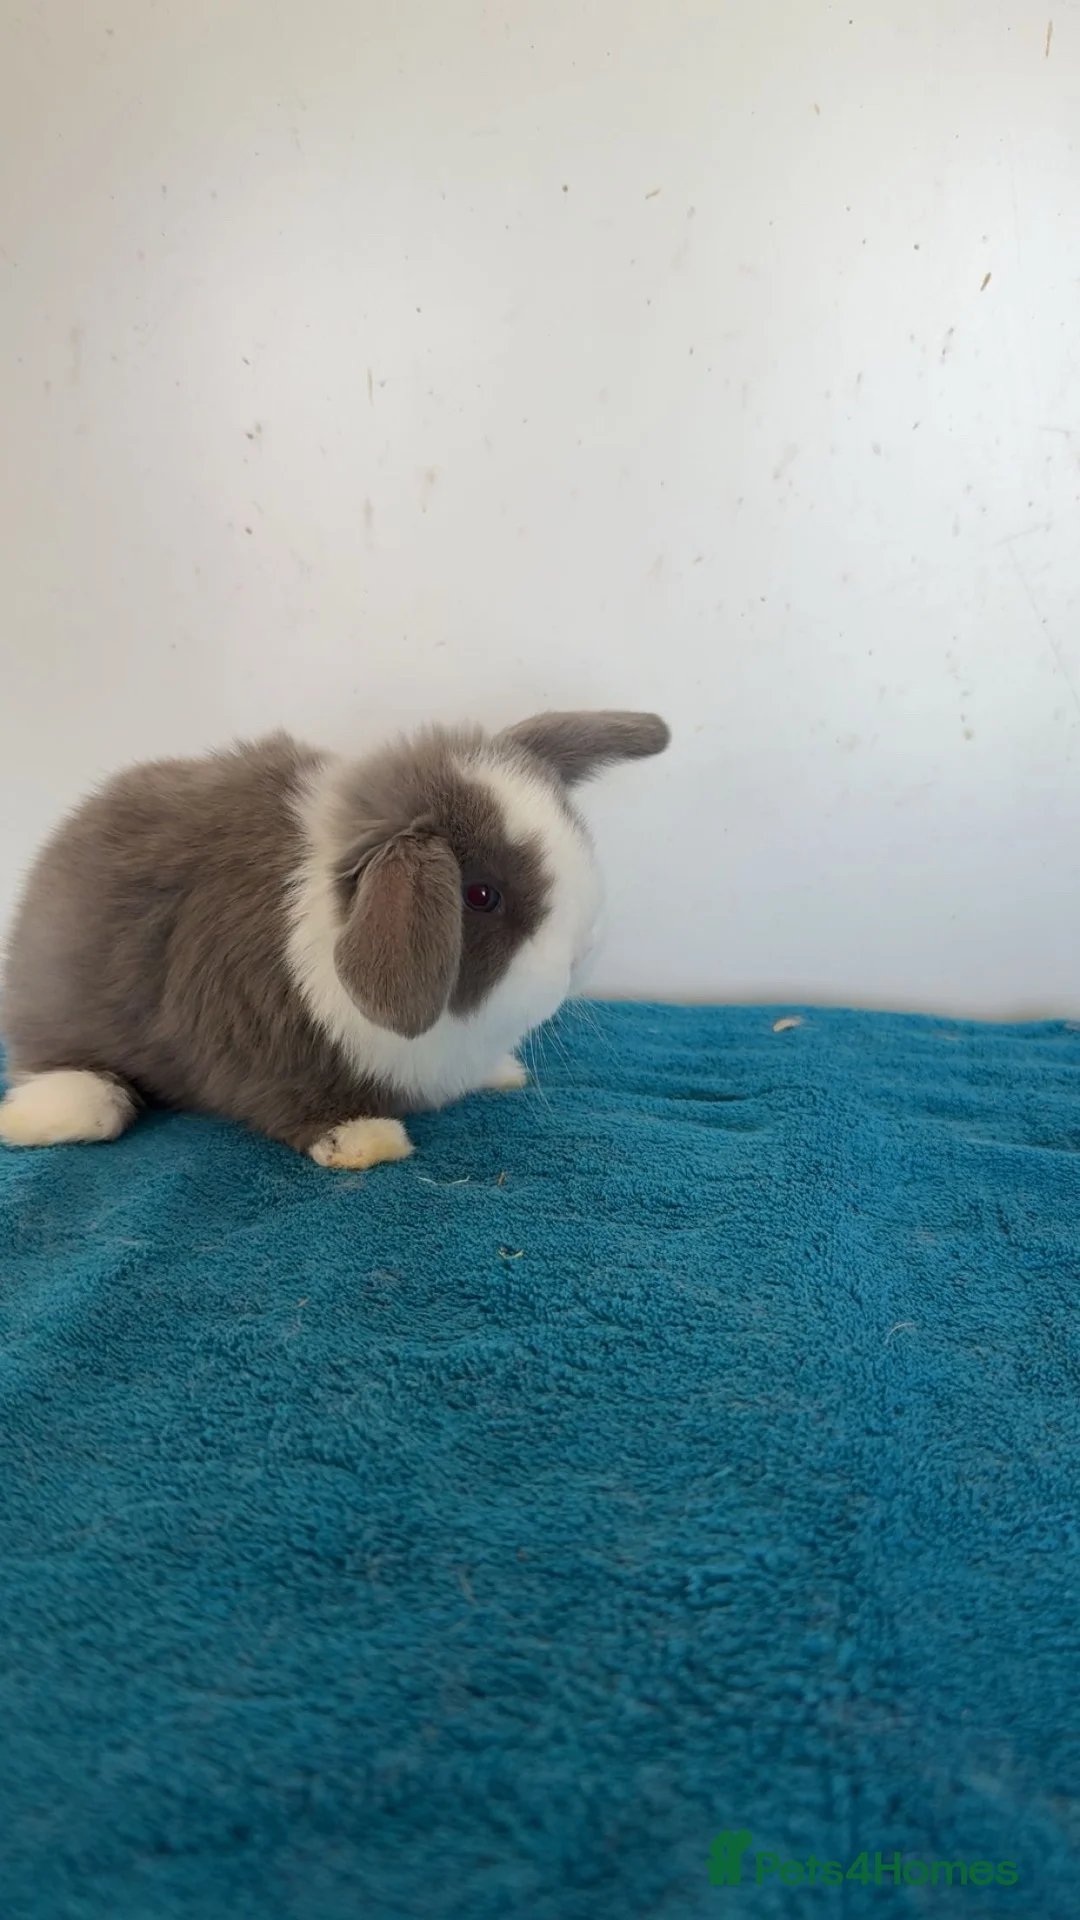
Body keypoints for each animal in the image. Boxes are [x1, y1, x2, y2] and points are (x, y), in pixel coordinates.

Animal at [0, 710, 669, 1168]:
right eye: (480, 896)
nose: (583, 954)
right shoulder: (265, 1048)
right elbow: (305, 1104)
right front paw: (366, 1141)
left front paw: (501, 1072)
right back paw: (52, 1113)